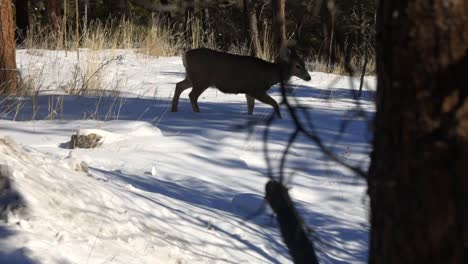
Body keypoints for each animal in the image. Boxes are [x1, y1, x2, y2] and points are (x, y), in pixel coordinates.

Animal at [172, 44, 310, 117]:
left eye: (304, 63)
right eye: (297, 65)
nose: (308, 77)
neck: (269, 75)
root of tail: (185, 55)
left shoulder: (248, 91)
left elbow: (251, 107)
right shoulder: (256, 89)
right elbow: (275, 103)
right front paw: (279, 118)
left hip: (192, 77)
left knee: (179, 85)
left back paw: (173, 110)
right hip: (202, 79)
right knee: (192, 95)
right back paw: (197, 113)